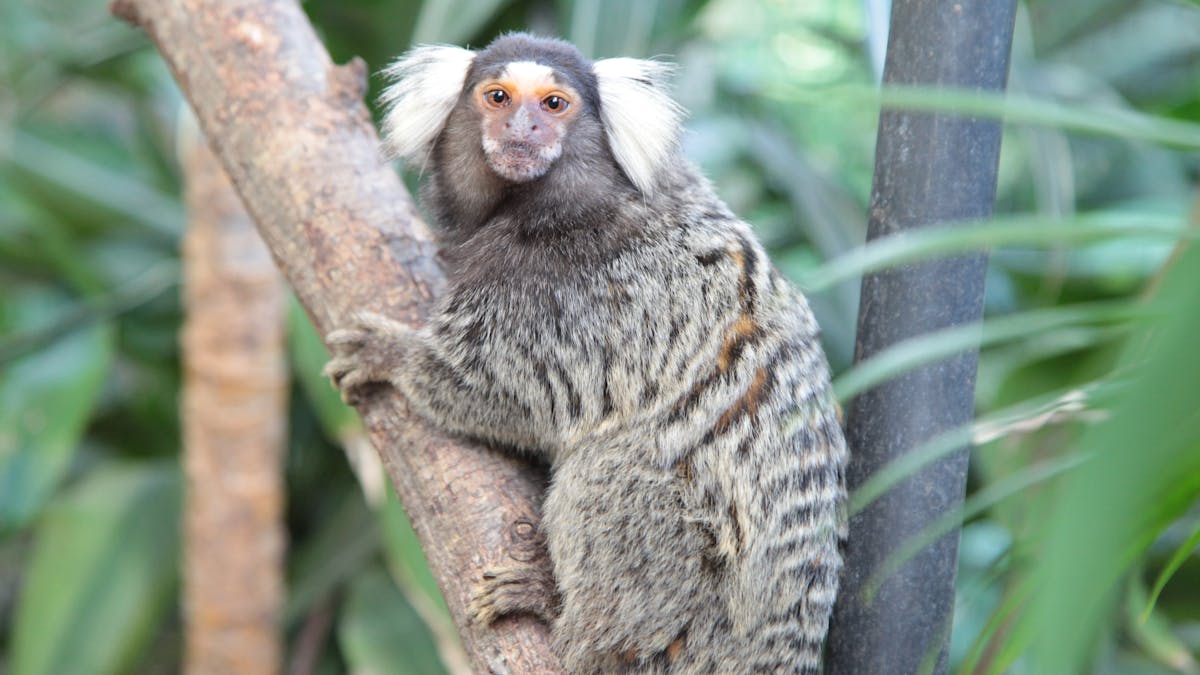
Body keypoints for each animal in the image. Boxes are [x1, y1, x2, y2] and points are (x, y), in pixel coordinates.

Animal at [324, 33, 847, 674]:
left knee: (609, 466)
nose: (522, 128)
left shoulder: (576, 300)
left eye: (554, 104)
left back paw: (564, 615)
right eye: (497, 96)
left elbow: (509, 395)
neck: (558, 208)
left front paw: (391, 355)